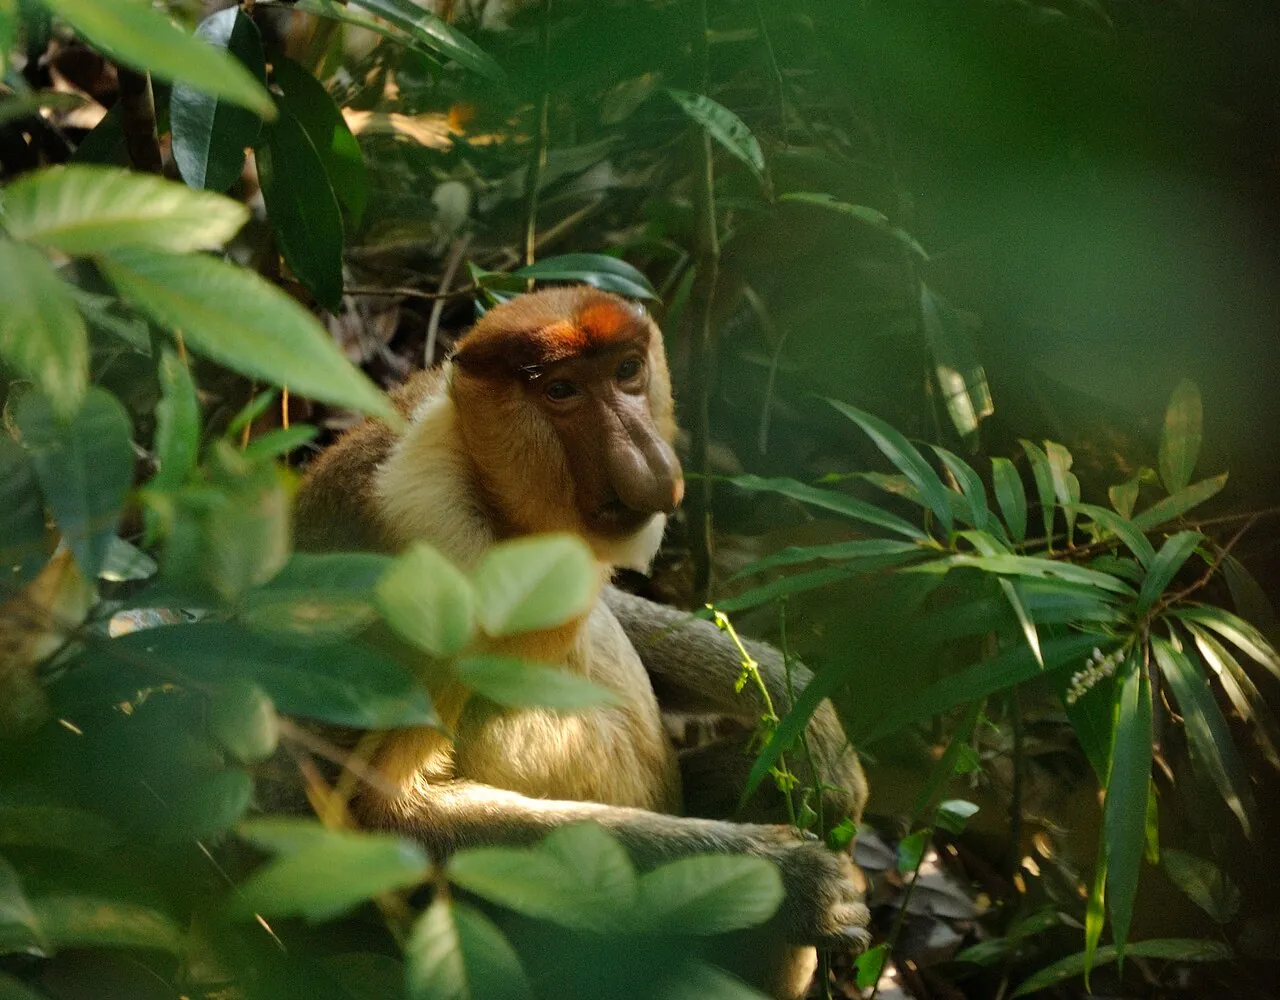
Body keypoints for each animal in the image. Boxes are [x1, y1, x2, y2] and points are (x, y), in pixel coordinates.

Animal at [292, 286, 869, 999]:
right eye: (561, 390)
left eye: (627, 371)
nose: (650, 463)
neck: (473, 473)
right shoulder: (432, 563)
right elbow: (375, 812)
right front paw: (791, 882)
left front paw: (816, 737)